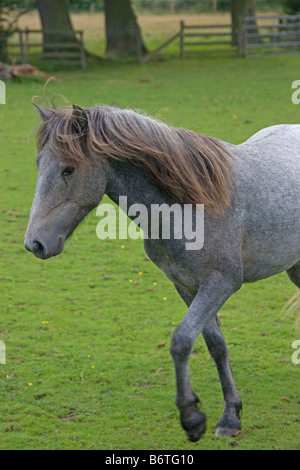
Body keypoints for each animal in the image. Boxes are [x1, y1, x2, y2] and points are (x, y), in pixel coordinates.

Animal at [24, 104, 300, 442]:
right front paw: (230, 415)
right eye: (40, 163)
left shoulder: (221, 282)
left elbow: (181, 340)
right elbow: (215, 345)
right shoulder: (186, 286)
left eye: (68, 170)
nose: (34, 243)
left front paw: (192, 418)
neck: (189, 205)